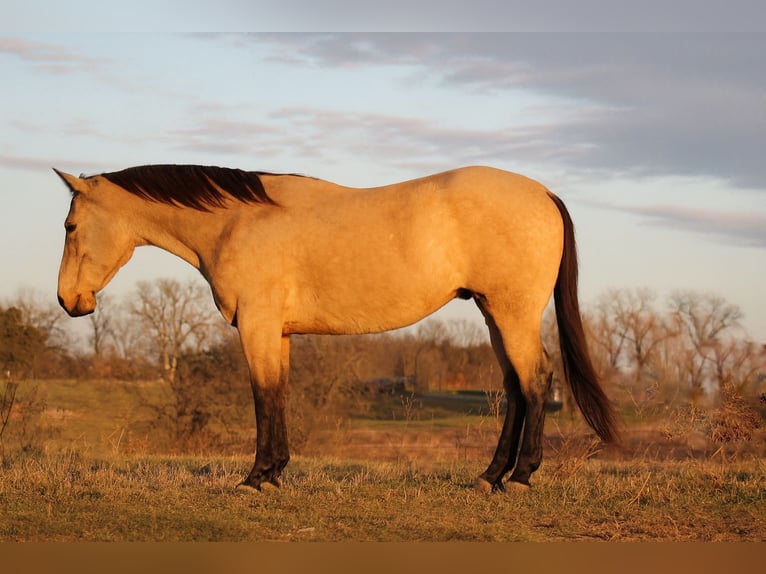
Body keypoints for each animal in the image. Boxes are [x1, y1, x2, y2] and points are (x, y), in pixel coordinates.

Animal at [54, 164, 619, 493]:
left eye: (70, 225)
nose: (67, 301)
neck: (239, 220)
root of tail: (544, 193)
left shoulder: (256, 325)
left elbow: (263, 395)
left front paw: (255, 479)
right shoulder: (277, 332)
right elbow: (279, 393)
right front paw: (274, 474)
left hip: (511, 312)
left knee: (535, 379)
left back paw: (519, 478)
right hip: (493, 312)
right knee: (515, 387)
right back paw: (489, 477)